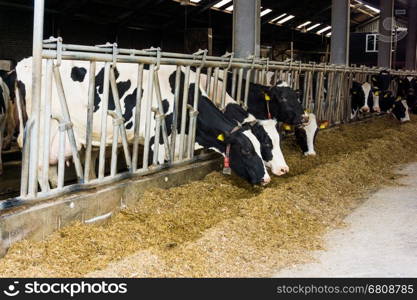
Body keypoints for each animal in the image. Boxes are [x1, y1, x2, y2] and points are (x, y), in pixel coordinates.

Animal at [13, 58, 270, 185]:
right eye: (246, 151)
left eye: (260, 146)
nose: (266, 178)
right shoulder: (160, 140)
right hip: (44, 130)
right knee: (39, 170)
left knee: (50, 170)